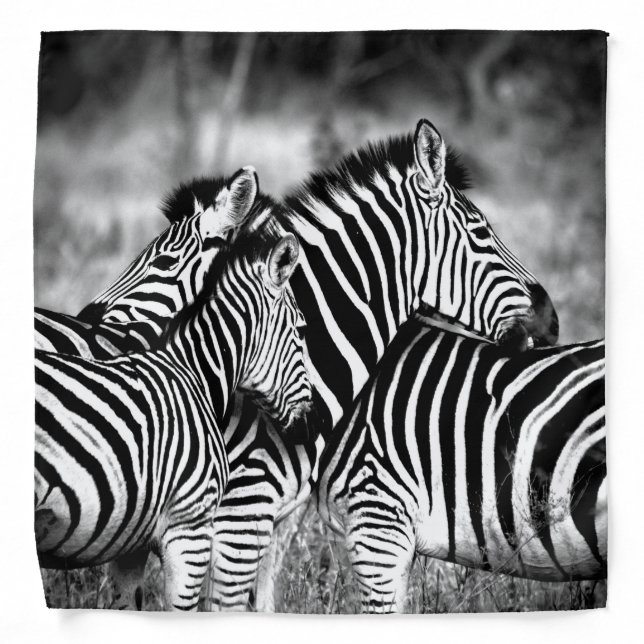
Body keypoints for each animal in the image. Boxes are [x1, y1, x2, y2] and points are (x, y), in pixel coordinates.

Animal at [35, 186, 313, 611]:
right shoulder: (205, 525)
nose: (309, 424)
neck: (192, 370)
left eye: (163, 261)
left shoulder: (133, 536)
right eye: (300, 329)